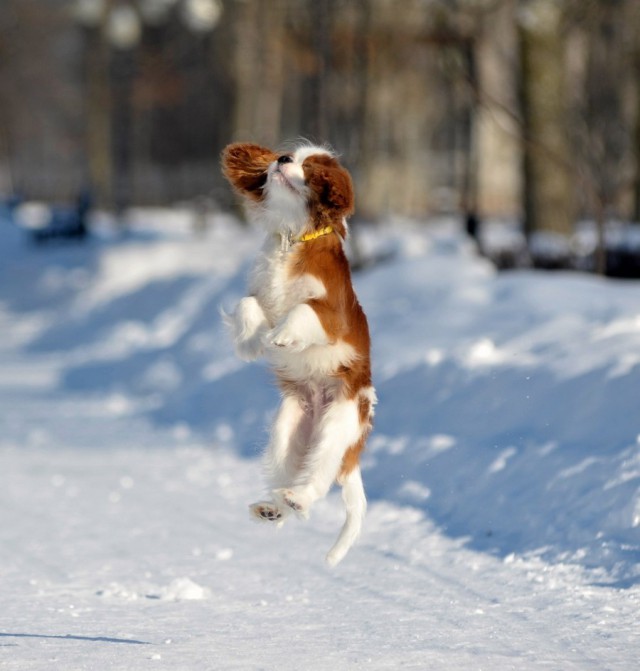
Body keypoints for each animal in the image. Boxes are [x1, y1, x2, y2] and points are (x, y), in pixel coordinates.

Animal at [221, 142, 376, 568]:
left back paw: (298, 498)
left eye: (311, 168)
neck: (293, 237)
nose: (283, 159)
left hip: (338, 425)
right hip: (287, 430)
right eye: (287, 154)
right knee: (287, 482)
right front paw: (253, 340)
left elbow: (303, 311)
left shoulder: (331, 313)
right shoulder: (259, 292)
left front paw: (283, 335)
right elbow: (248, 304)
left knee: (317, 482)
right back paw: (272, 509)